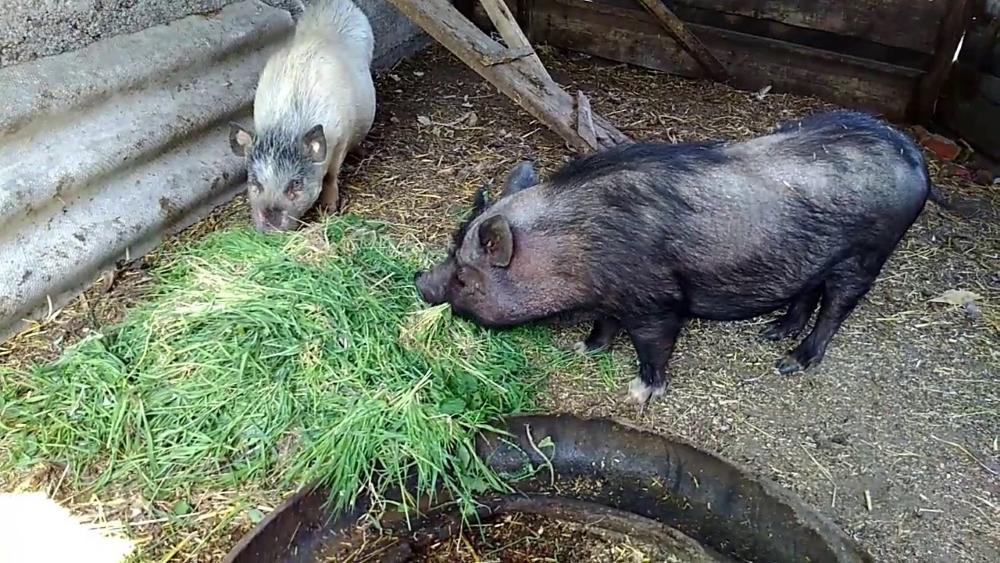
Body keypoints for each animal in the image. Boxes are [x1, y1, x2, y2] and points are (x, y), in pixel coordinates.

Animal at [414, 110, 936, 404]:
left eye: (464, 276)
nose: (420, 281)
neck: (573, 249)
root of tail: (913, 154)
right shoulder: (612, 296)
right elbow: (604, 324)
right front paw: (584, 348)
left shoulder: (655, 301)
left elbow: (653, 346)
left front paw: (638, 394)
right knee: (807, 289)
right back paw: (771, 333)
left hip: (870, 252)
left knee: (837, 306)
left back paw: (791, 362)